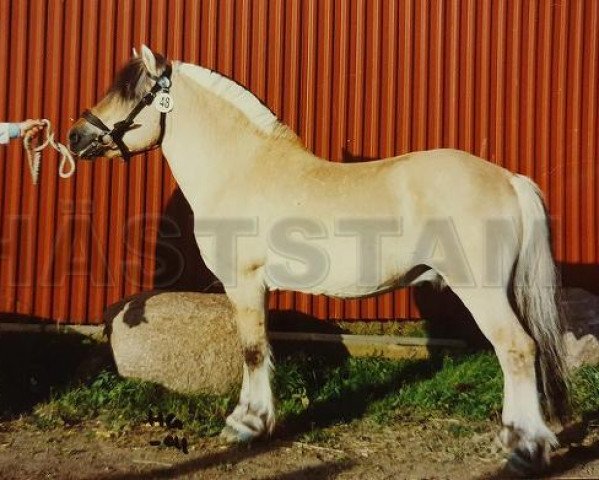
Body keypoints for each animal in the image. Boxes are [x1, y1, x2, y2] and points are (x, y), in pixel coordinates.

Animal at [68, 46, 568, 472]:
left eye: (131, 93)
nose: (75, 135)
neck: (242, 170)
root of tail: (508, 179)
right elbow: (263, 348)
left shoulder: (243, 282)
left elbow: (251, 350)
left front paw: (246, 424)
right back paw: (511, 437)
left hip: (481, 291)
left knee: (517, 348)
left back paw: (526, 448)